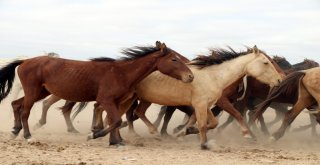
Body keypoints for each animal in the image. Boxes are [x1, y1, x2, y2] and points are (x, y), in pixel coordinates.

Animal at [0, 41, 192, 146]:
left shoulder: (116, 102)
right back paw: (28, 136)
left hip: (40, 91)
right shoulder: (106, 100)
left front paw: (116, 141)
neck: (121, 72)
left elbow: (114, 121)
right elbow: (116, 120)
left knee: (16, 104)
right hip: (33, 91)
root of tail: (24, 61)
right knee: (25, 111)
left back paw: (15, 130)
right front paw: (95, 135)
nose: (190, 76)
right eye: (174, 59)